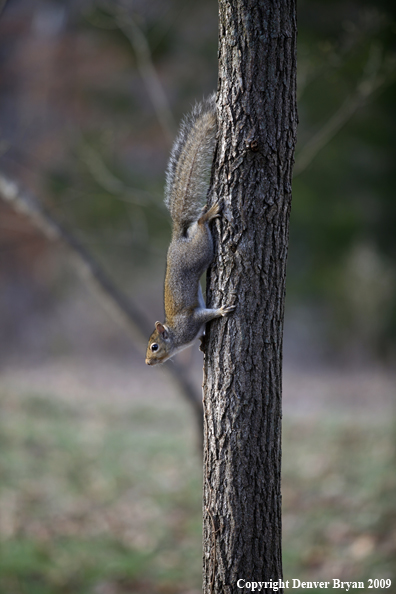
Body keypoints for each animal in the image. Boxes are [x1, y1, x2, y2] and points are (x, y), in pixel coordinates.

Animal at [145, 94, 235, 364]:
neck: (176, 335)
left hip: (200, 251)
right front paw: (202, 345)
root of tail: (178, 236)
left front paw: (221, 310)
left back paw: (207, 215)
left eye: (154, 346)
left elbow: (205, 315)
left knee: (202, 226)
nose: (147, 362)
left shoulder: (191, 320)